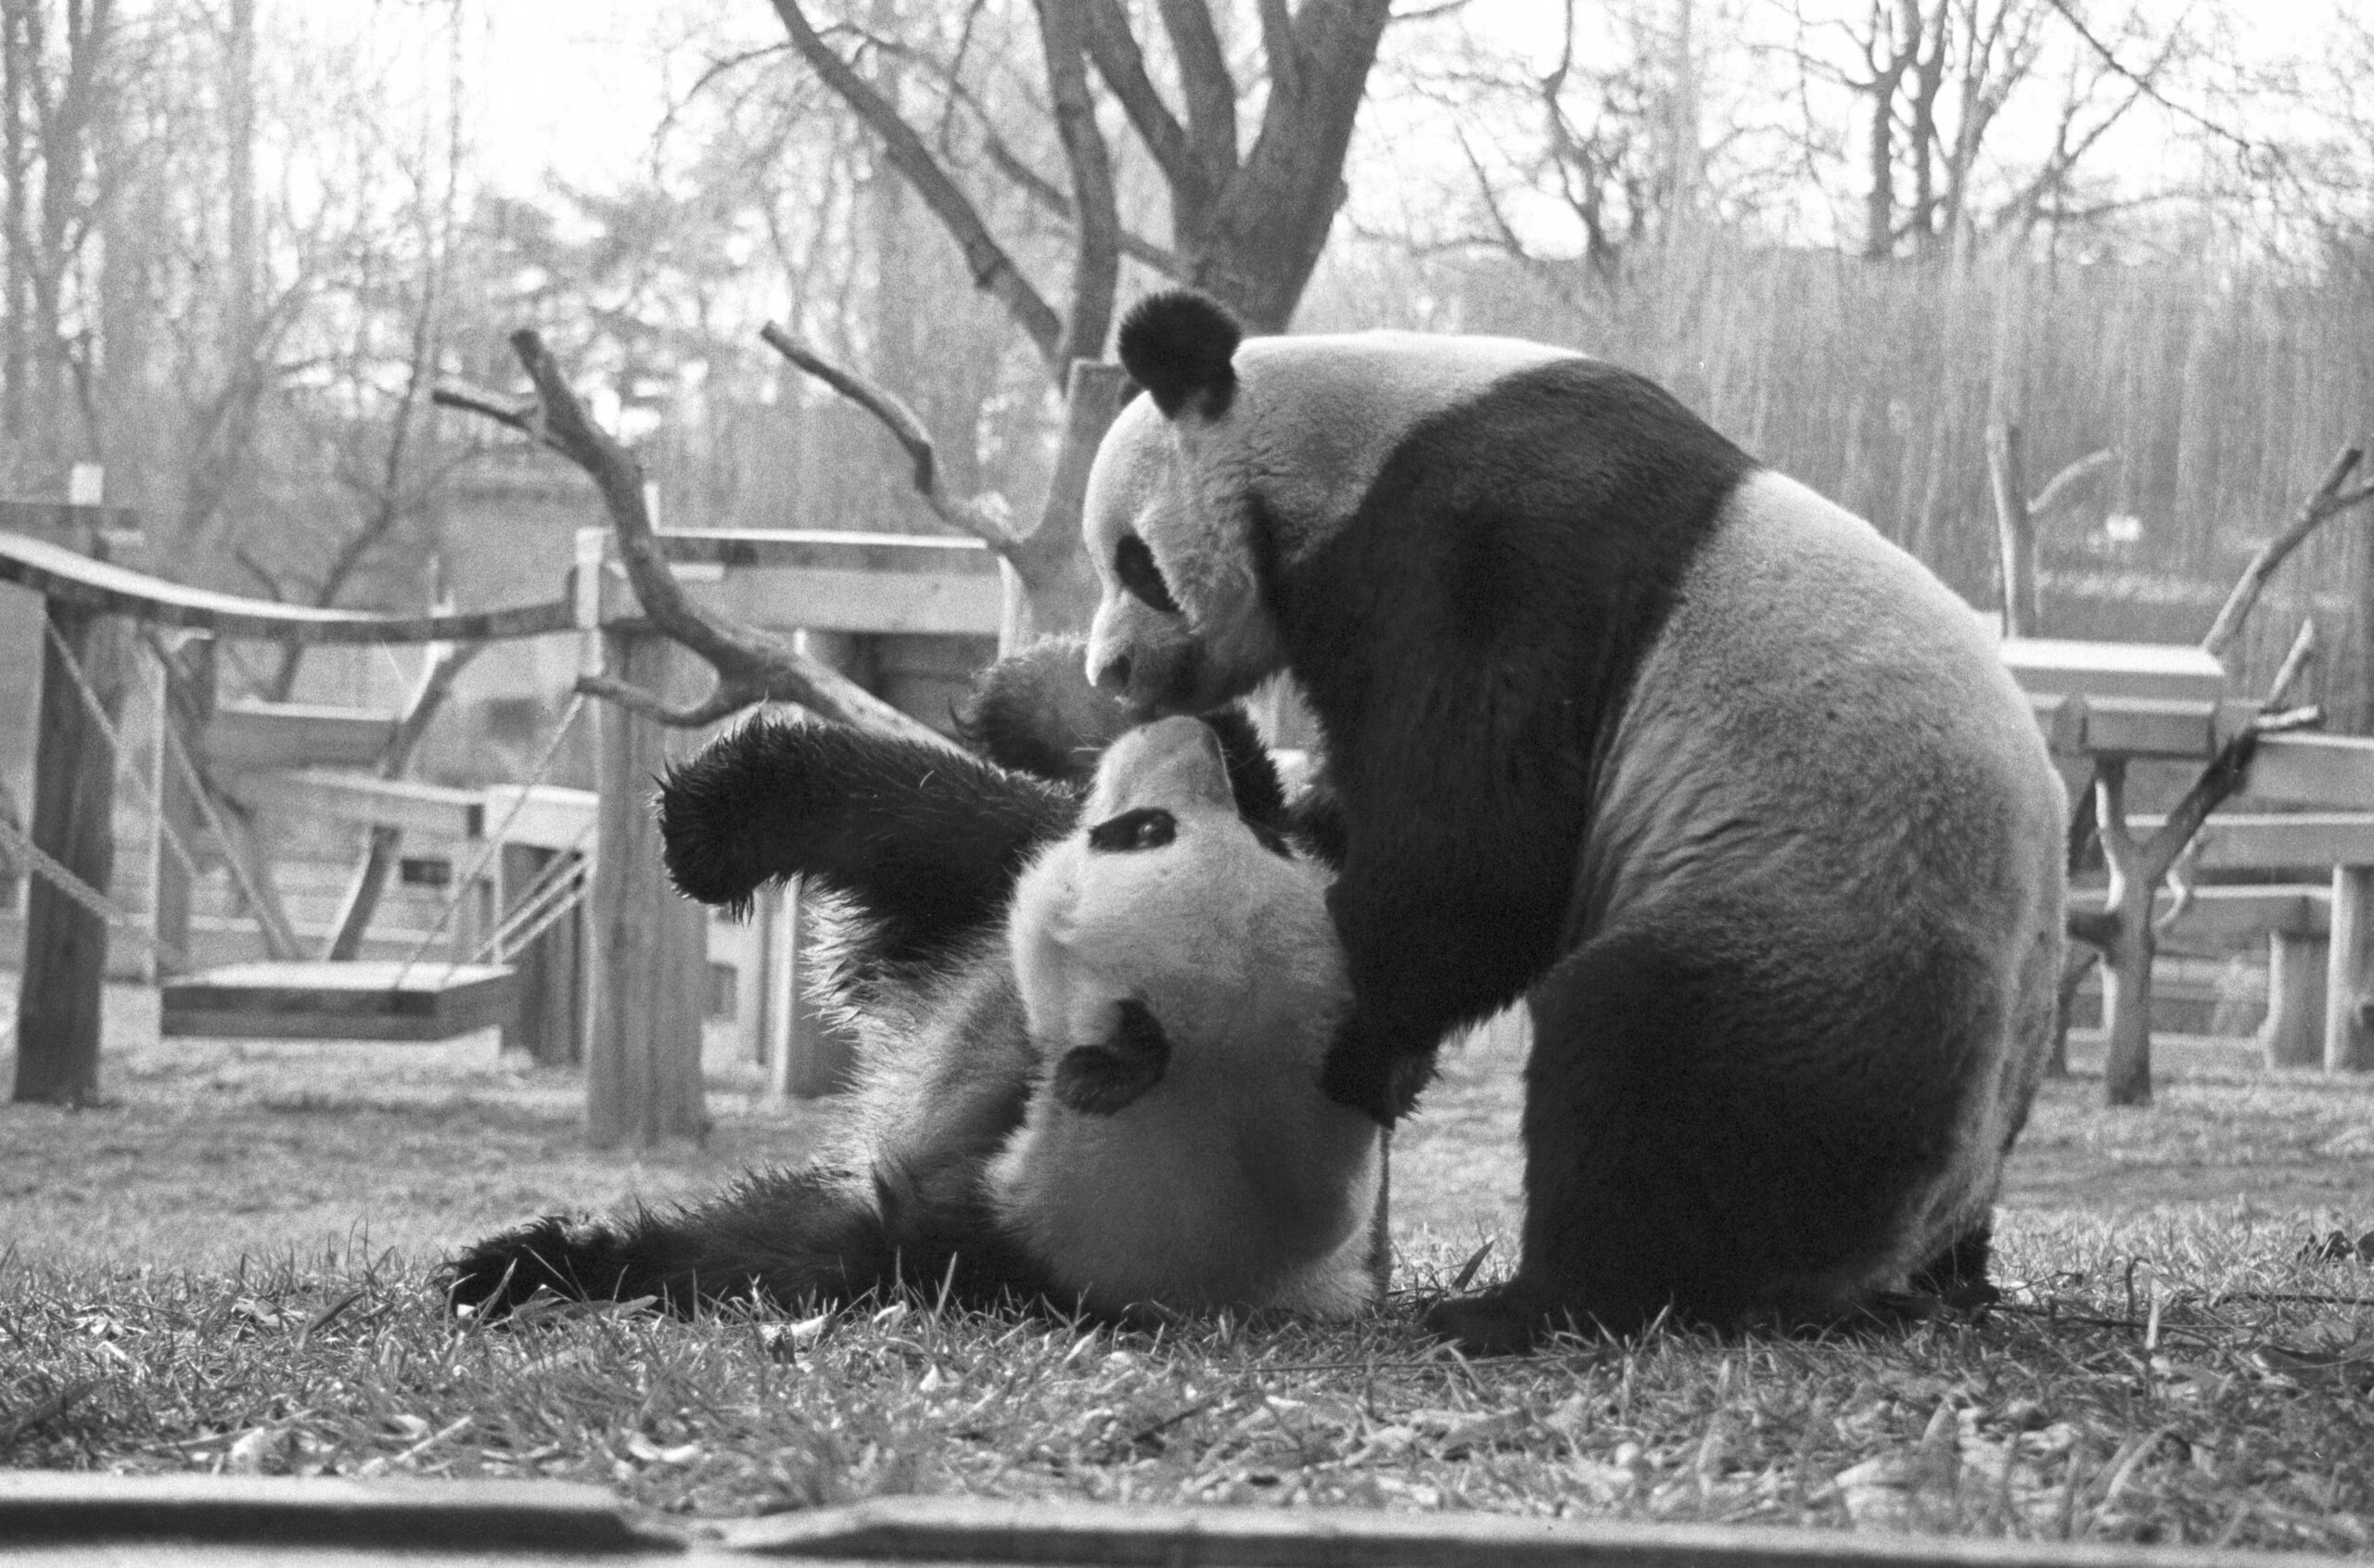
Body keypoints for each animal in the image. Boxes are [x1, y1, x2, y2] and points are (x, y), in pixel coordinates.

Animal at [441, 659, 1386, 1319]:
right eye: (1260, 837)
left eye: (1146, 831)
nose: (1196, 749)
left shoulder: (983, 1241)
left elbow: (780, 1250)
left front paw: (532, 1267)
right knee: (934, 815)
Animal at [1087, 287, 2070, 1347]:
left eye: (1133, 563)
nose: (1109, 672)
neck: (1345, 442)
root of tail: (1902, 1238)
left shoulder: (1487, 551)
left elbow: (1485, 845)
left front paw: (1357, 1031)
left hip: (1812, 953)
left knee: (1651, 1081)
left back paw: (1526, 1304)